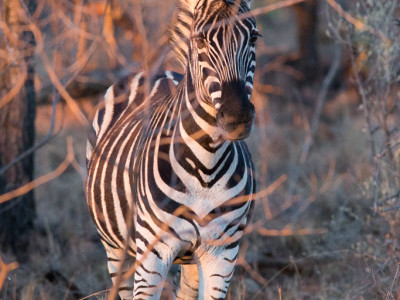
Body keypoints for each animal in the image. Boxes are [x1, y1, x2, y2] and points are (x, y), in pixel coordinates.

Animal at [85, 0, 260, 298]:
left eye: (254, 37)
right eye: (200, 39)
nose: (237, 117)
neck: (206, 167)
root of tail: (155, 71)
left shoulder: (222, 254)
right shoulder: (152, 254)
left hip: (191, 260)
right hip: (115, 248)